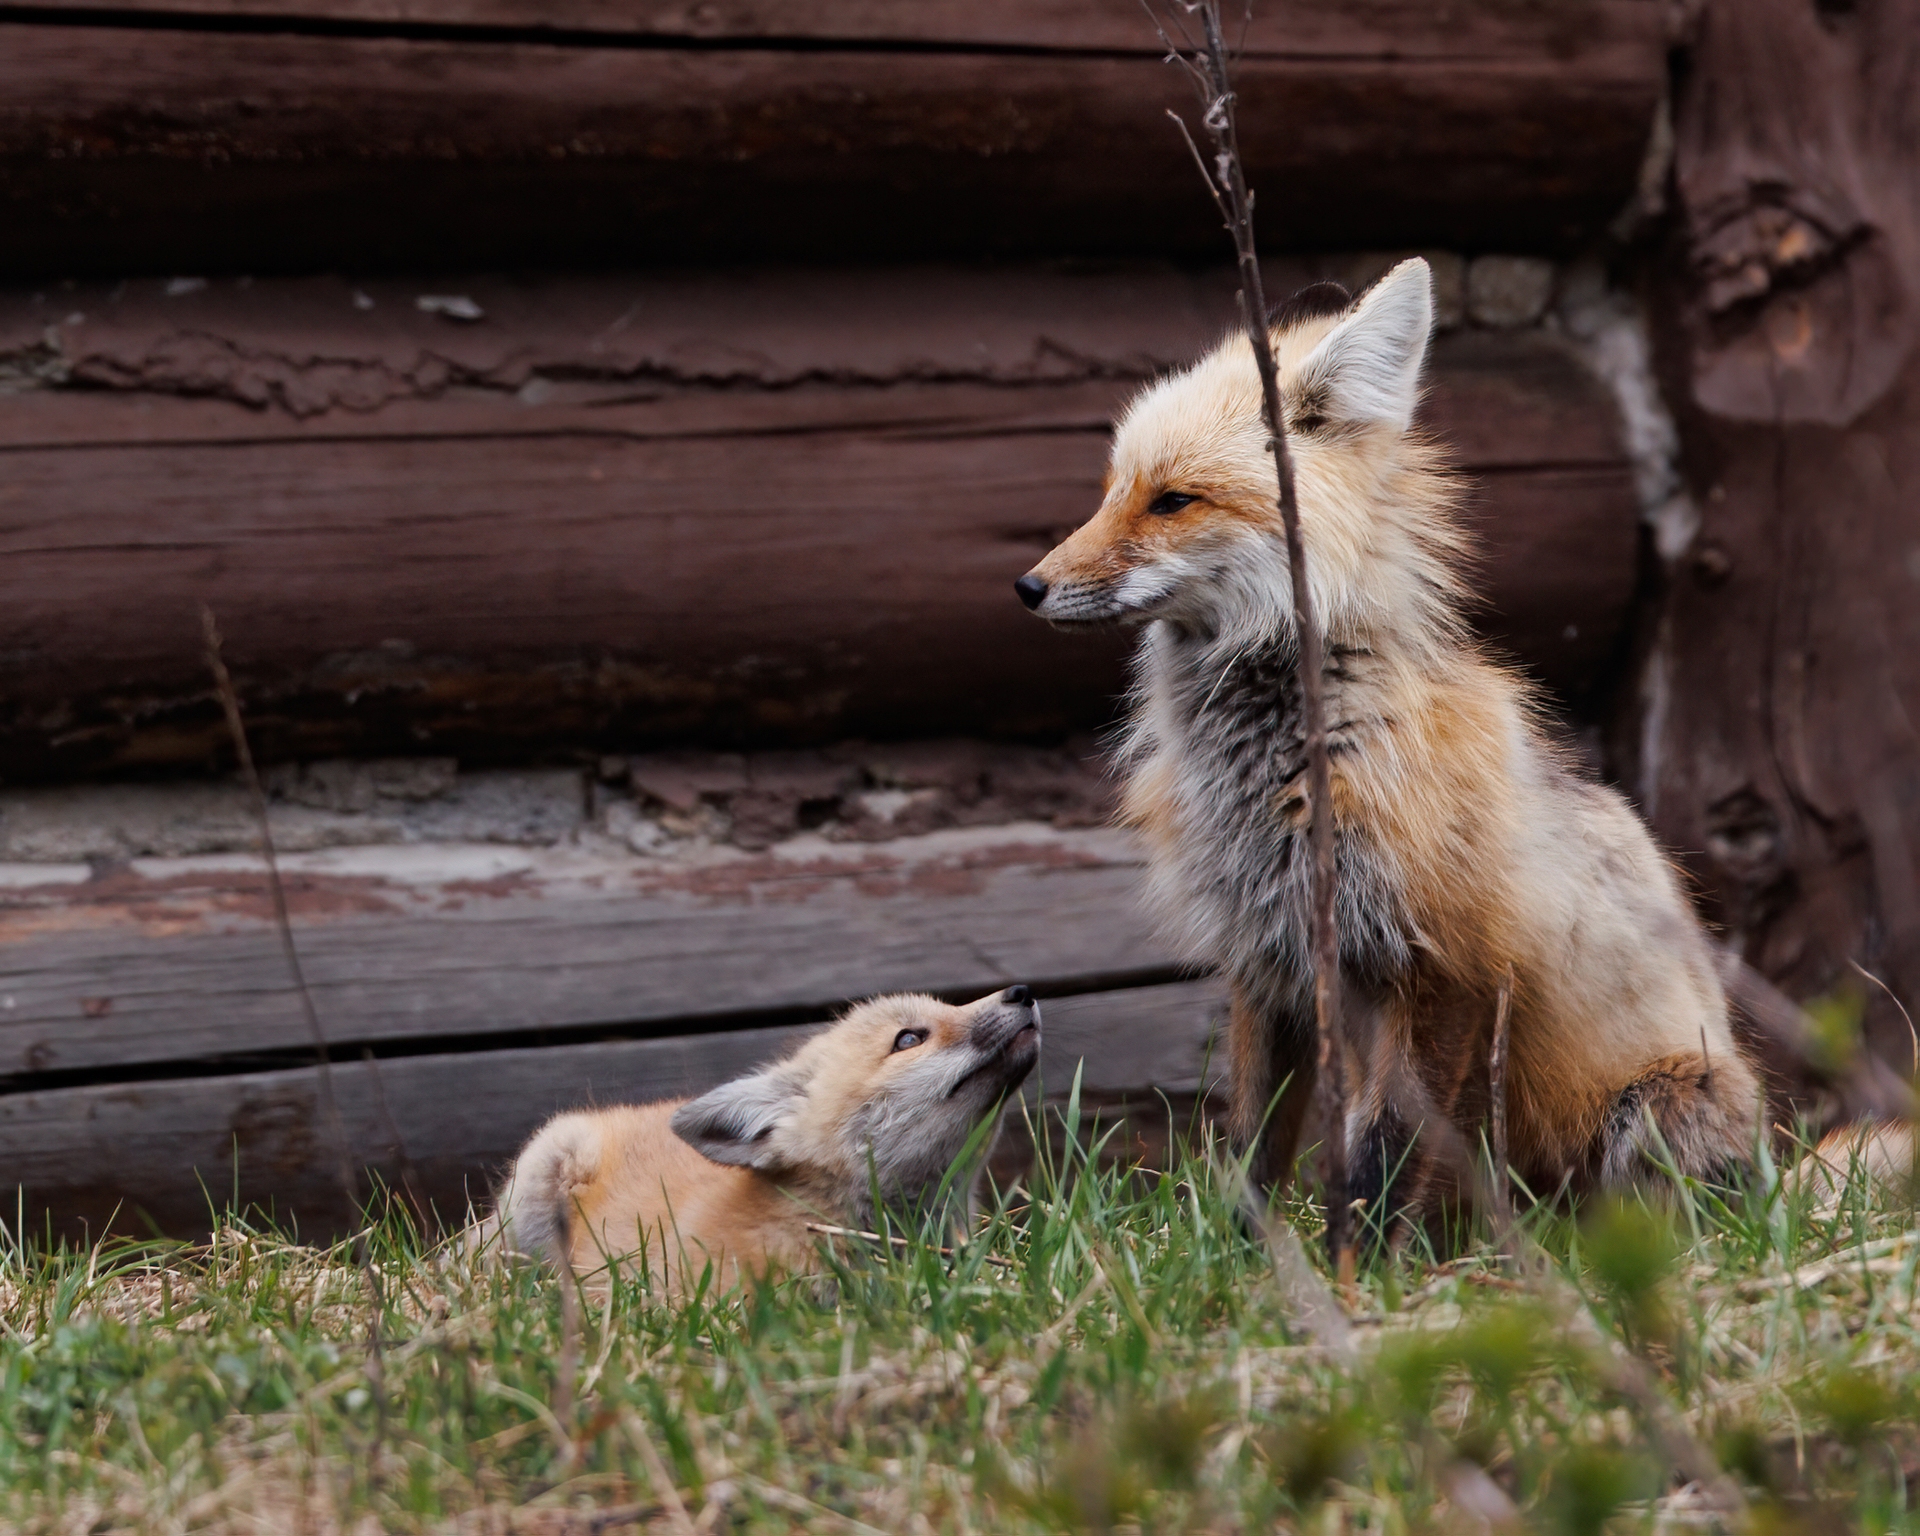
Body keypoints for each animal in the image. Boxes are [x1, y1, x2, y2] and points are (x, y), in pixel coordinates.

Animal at [1015, 258, 1765, 1219]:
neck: (1287, 766)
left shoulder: (1445, 967)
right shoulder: (1271, 956)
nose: (1029, 587)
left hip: (1662, 1109)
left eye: (1172, 501)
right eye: (1111, 493)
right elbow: (1252, 1153)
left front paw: (1362, 1260)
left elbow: (1382, 1158)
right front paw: (1252, 1253)